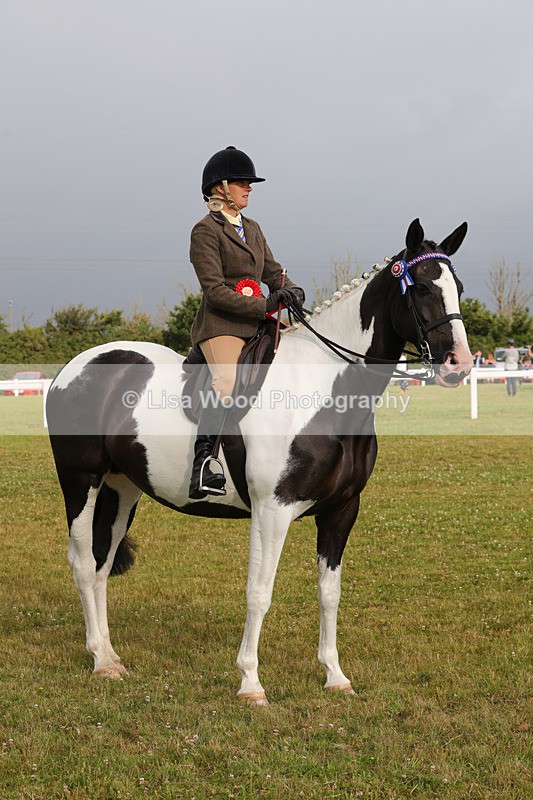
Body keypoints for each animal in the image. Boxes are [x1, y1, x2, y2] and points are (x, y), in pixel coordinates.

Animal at [47, 219, 472, 705]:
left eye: (457, 287)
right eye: (420, 286)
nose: (459, 365)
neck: (326, 391)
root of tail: (75, 367)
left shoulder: (342, 510)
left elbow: (330, 593)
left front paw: (335, 675)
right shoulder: (273, 510)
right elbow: (259, 592)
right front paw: (250, 683)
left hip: (122, 489)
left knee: (101, 565)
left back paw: (111, 657)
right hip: (81, 481)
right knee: (83, 563)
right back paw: (100, 660)